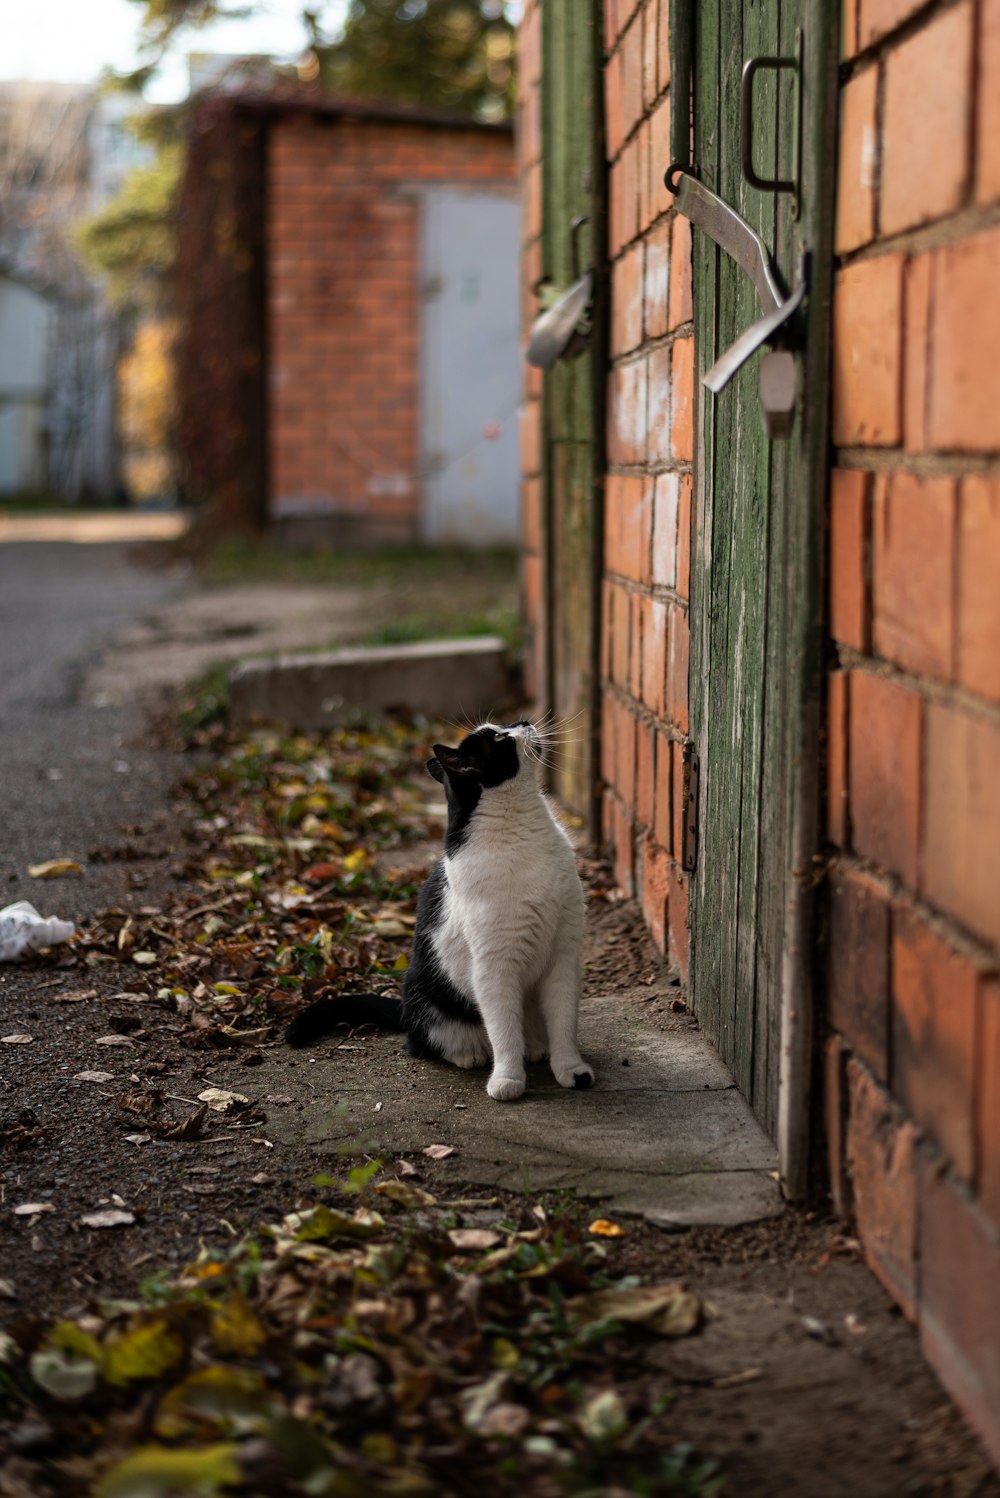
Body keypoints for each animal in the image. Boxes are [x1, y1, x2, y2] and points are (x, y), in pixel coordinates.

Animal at [284, 719, 592, 1108]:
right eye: (499, 738)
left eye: (504, 725)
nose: (523, 722)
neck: (521, 832)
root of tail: (404, 1009)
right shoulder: (494, 967)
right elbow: (503, 1029)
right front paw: (508, 1079)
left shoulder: (563, 955)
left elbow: (565, 1022)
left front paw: (571, 1069)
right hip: (425, 997)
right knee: (423, 1043)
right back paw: (470, 1054)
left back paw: (537, 1047)